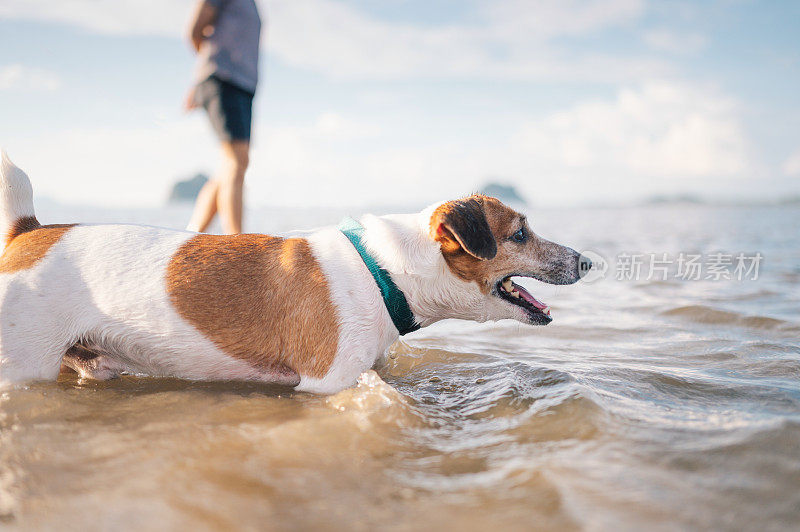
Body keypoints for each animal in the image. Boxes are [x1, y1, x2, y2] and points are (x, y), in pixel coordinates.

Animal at [0, 152, 588, 392]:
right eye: (520, 234)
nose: (586, 261)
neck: (384, 270)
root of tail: (28, 232)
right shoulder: (327, 386)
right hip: (22, 365)